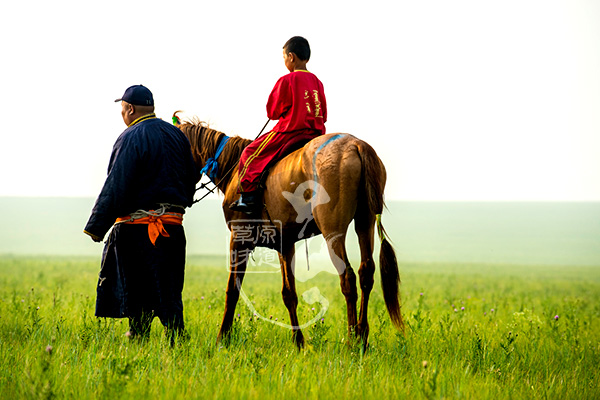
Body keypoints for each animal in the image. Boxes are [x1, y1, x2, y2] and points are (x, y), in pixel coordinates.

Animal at [176, 114, 406, 348]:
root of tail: (357, 145)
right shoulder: (284, 244)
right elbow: (289, 294)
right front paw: (299, 342)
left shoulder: (239, 239)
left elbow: (232, 289)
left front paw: (223, 338)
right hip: (365, 222)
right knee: (366, 272)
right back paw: (363, 337)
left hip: (332, 229)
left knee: (347, 277)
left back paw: (352, 340)